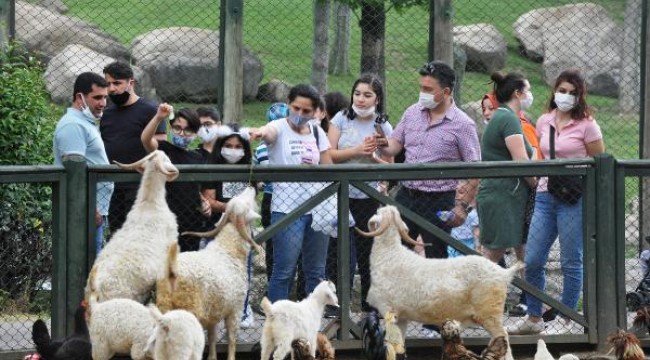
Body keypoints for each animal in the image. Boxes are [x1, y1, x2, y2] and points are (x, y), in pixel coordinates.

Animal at [354, 205, 520, 360]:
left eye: (378, 212)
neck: (390, 255)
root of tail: (503, 273)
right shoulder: (402, 317)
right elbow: (399, 345)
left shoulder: (388, 310)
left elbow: (391, 346)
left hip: (490, 313)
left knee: (503, 336)